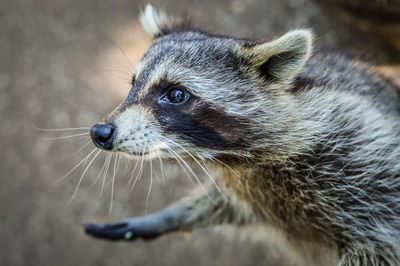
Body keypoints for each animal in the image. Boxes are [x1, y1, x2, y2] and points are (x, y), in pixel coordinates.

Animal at [84, 4, 400, 266]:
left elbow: (379, 244)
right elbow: (225, 205)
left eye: (175, 94)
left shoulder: (366, 160)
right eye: (133, 84)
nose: (100, 132)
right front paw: (170, 217)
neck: (237, 158)